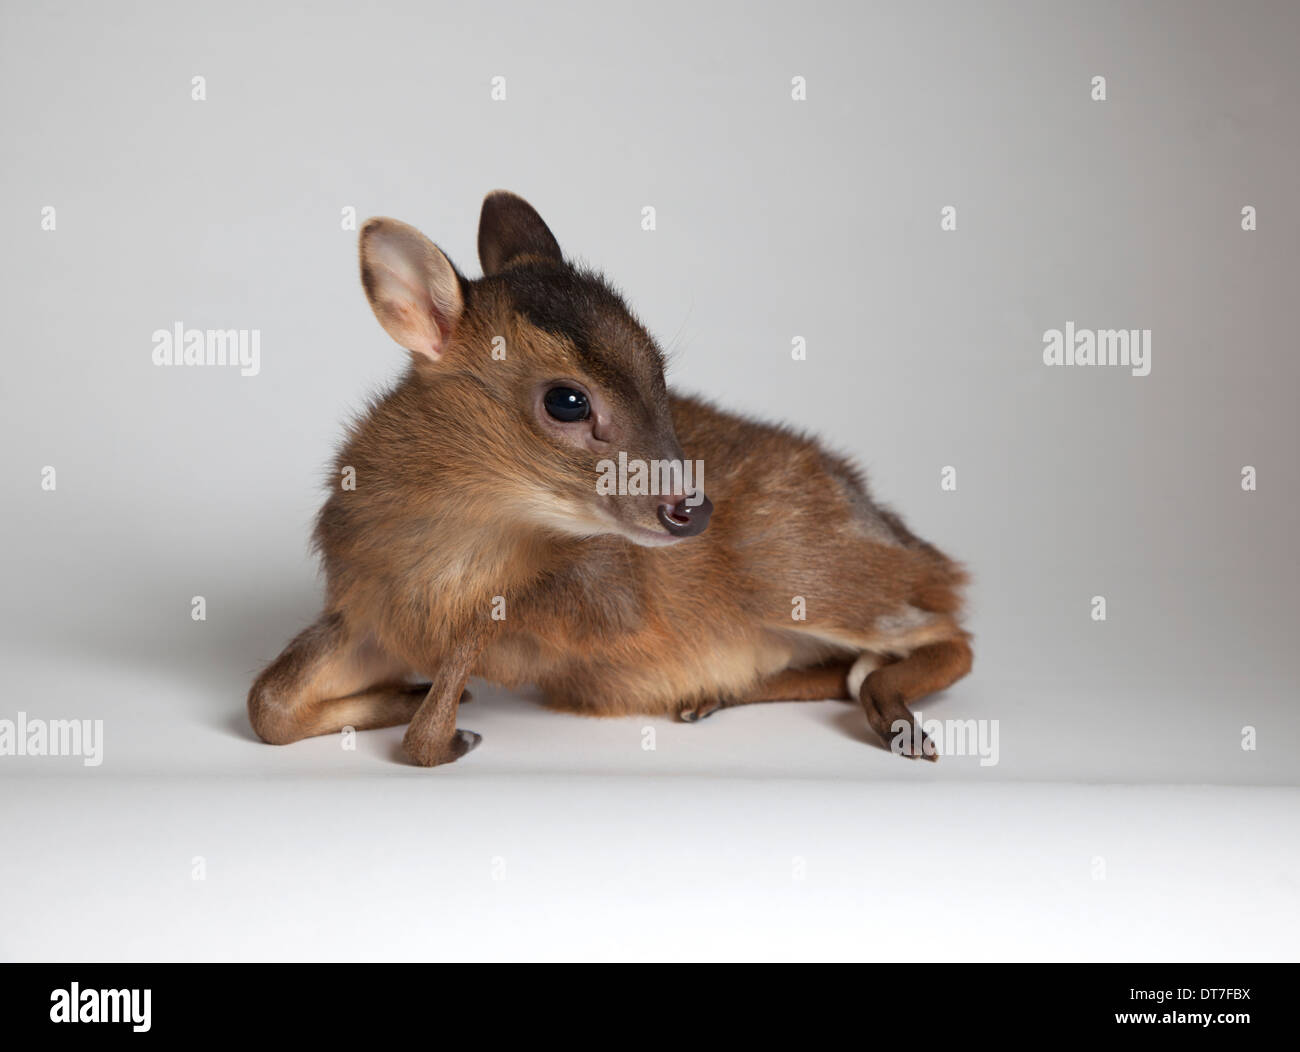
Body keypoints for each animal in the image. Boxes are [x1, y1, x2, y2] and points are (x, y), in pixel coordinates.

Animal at [248, 191, 972, 764]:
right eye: (568, 401)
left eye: (660, 370)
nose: (691, 510)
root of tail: (916, 546)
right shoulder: (364, 611)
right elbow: (266, 707)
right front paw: (408, 698)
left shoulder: (609, 601)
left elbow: (475, 645)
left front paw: (447, 724)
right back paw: (710, 697)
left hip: (801, 573)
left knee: (949, 635)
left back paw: (897, 721)